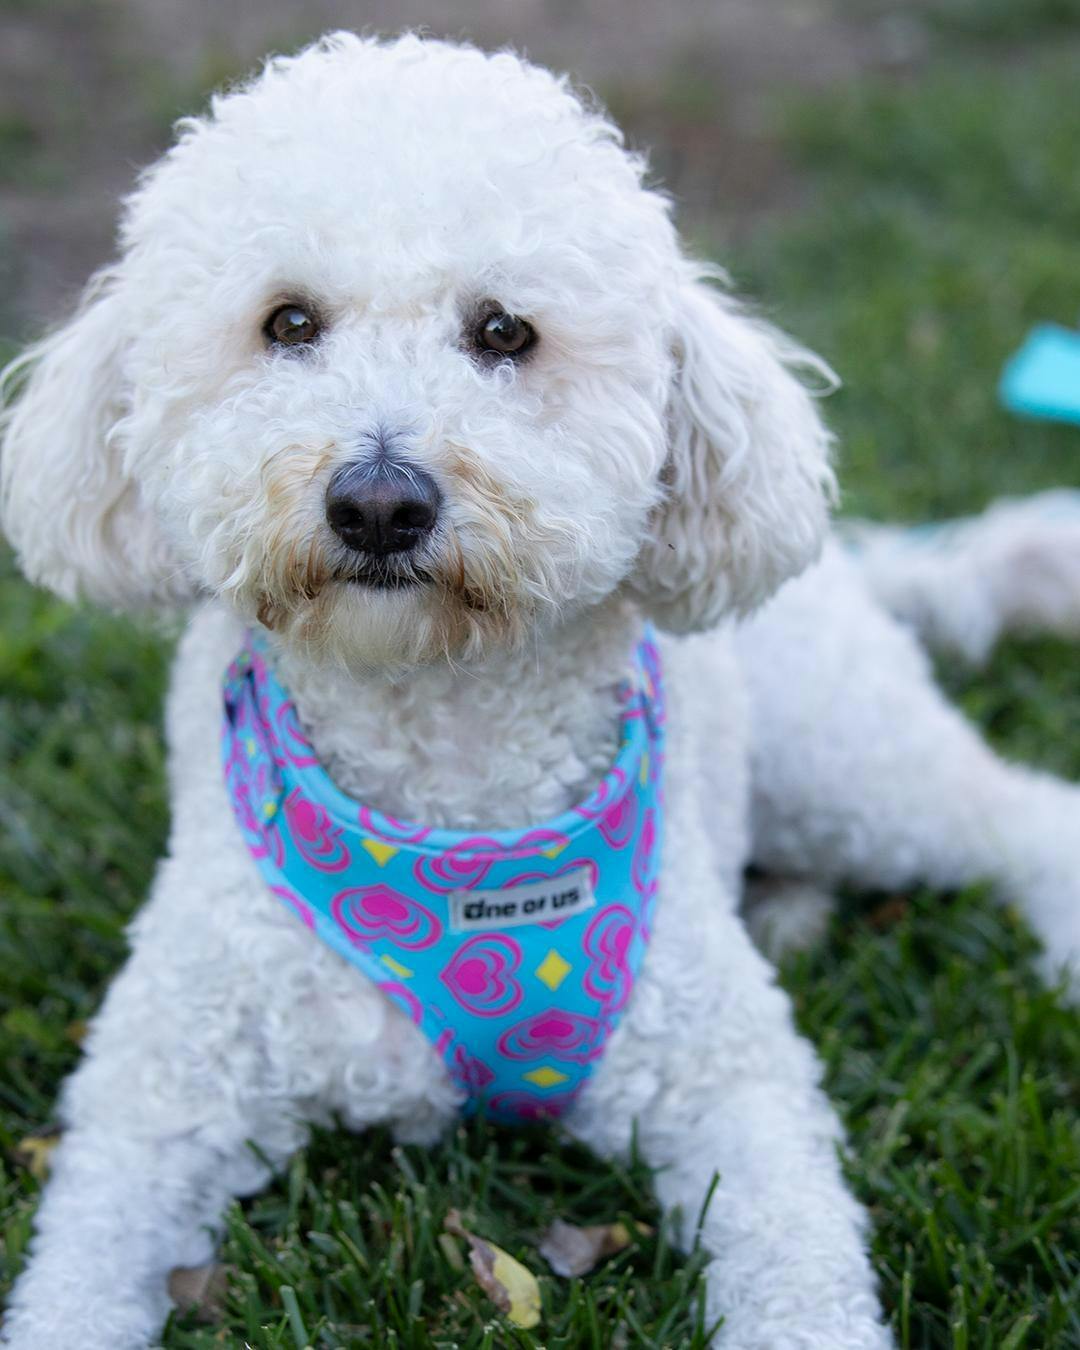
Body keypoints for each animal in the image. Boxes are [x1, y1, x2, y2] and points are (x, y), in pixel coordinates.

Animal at [3, 32, 1079, 1350]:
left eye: (504, 332)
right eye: (288, 322)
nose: (379, 502)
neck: (446, 773)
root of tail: (851, 560)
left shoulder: (729, 1074)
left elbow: (801, 1263)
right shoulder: (155, 1093)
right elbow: (73, 1272)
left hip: (844, 760)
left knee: (1023, 815)